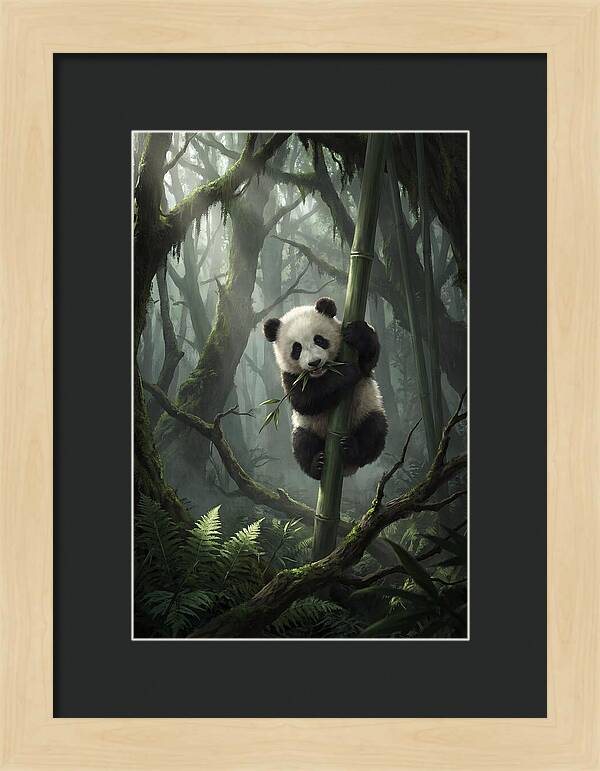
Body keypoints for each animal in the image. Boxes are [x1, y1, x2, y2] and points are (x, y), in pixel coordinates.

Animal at [263, 296, 387, 480]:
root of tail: (346, 469)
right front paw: (347, 372)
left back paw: (352, 449)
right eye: (297, 348)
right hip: (307, 427)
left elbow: (368, 360)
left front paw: (357, 333)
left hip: (366, 410)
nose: (314, 363)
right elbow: (305, 401)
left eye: (319, 340)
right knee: (302, 443)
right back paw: (317, 465)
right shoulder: (290, 376)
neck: (323, 373)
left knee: (374, 430)